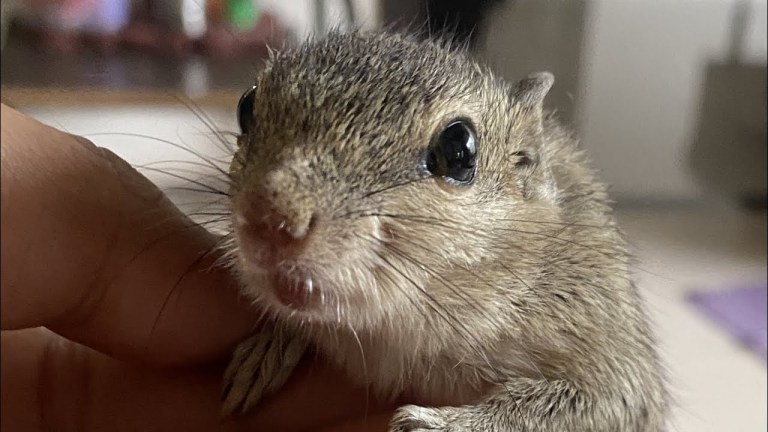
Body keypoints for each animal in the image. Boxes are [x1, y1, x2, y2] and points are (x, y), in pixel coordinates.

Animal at [216, 31, 664, 432]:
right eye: (246, 106)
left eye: (458, 150)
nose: (268, 220)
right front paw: (267, 348)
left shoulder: (601, 334)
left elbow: (605, 402)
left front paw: (443, 425)